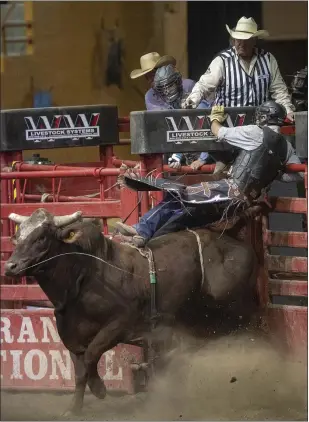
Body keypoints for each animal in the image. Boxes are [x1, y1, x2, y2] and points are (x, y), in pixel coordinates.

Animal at [4, 208, 255, 416]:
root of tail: (236, 244)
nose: (10, 266)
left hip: (231, 315)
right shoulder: (71, 335)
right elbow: (80, 370)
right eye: (18, 236)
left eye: (41, 237)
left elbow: (92, 354)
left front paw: (100, 389)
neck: (84, 277)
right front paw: (73, 409)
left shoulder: (120, 324)